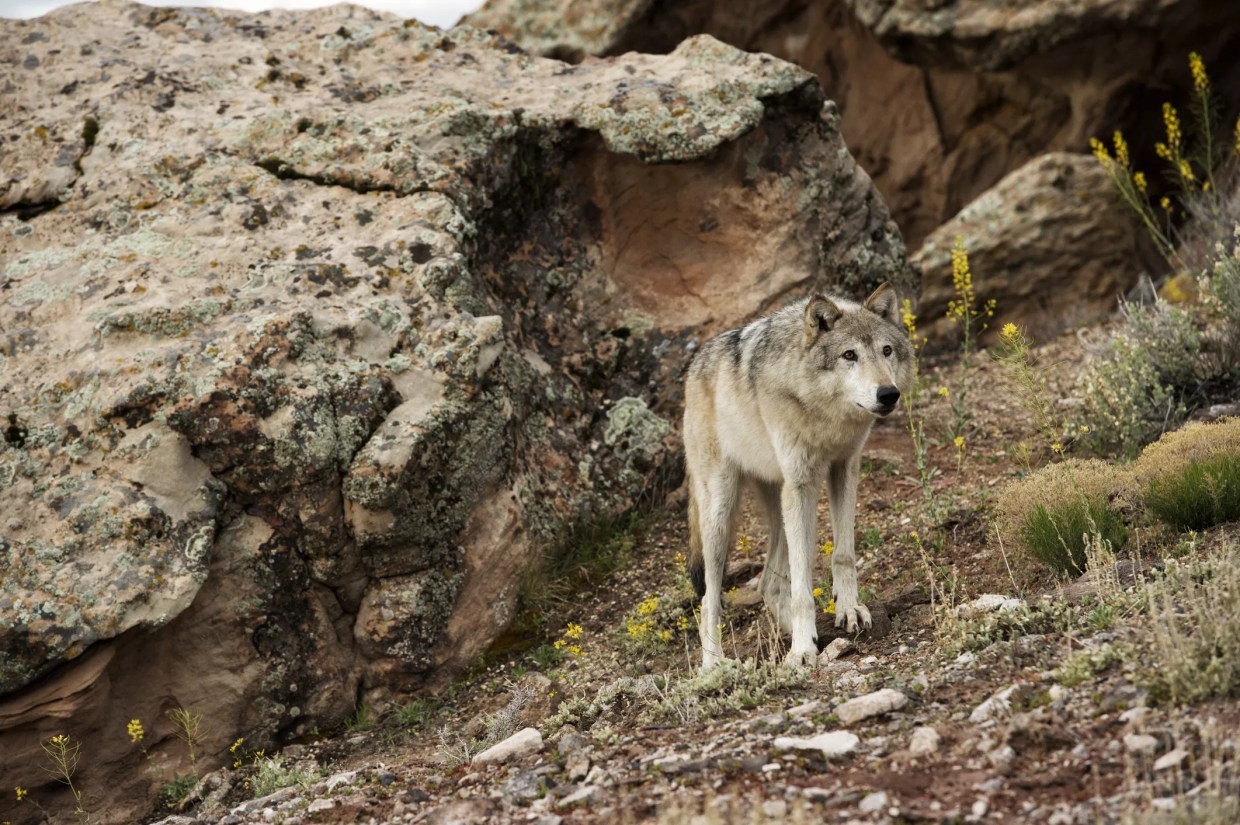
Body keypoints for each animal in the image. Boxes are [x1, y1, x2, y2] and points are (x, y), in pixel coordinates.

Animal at [684, 283, 914, 668]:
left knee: (769, 585)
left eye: (887, 350)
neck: (824, 416)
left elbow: (843, 555)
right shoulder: (802, 485)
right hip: (722, 514)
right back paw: (714, 664)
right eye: (849, 355)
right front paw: (803, 650)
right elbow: (802, 584)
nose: (888, 393)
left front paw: (848, 610)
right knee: (709, 600)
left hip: (779, 503)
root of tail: (693, 368)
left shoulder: (844, 469)